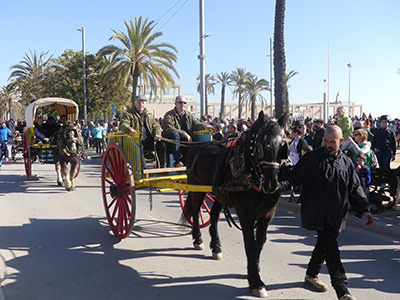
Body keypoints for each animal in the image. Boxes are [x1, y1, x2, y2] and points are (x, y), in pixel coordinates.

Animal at [181, 110, 288, 298]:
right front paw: (256, 281)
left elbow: (259, 243)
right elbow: (250, 244)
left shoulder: (268, 213)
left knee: (214, 215)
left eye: (282, 145)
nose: (271, 183)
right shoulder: (245, 213)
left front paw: (254, 270)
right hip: (197, 188)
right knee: (195, 211)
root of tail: (196, 146)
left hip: (219, 194)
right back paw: (198, 239)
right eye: (262, 145)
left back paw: (216, 247)